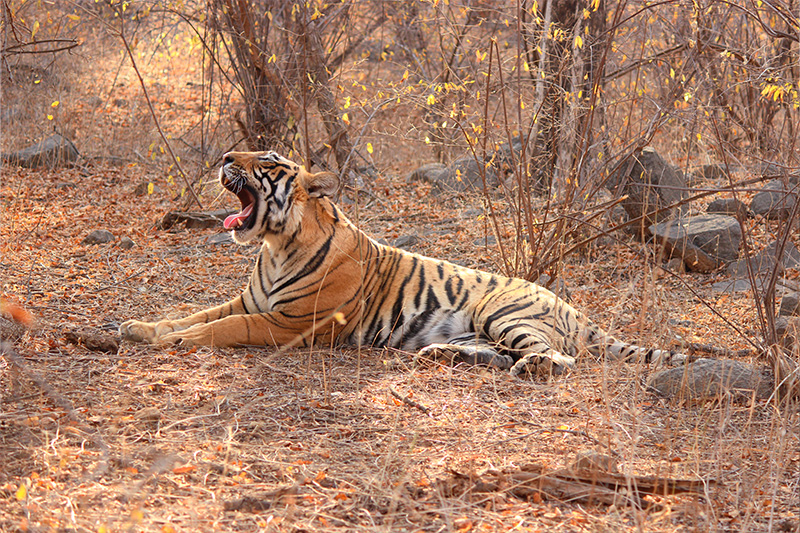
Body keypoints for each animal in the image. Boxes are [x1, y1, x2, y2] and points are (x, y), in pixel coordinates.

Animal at [120, 151, 686, 376]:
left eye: (267, 162)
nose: (223, 158)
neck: (277, 245)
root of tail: (571, 307)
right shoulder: (249, 300)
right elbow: (194, 314)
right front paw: (137, 327)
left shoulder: (290, 323)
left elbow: (223, 328)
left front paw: (175, 341)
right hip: (483, 328)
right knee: (497, 355)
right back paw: (441, 356)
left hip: (503, 311)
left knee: (558, 358)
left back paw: (531, 367)